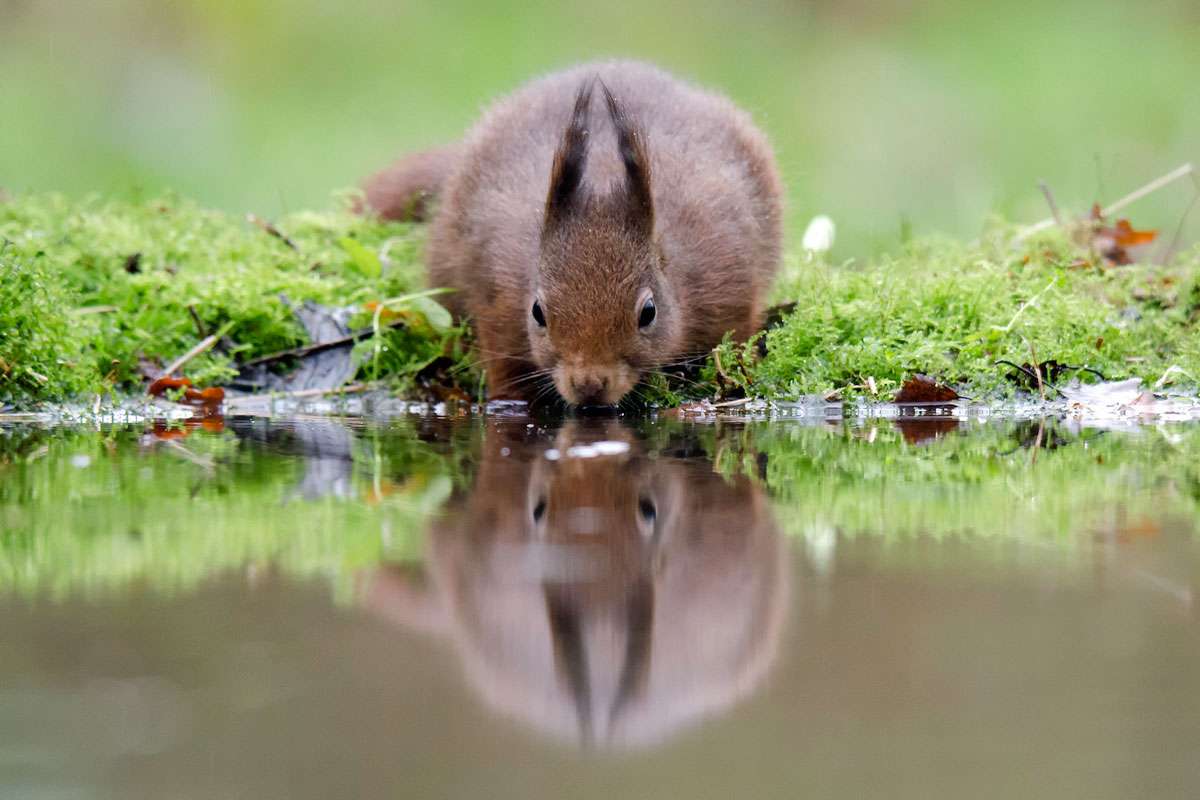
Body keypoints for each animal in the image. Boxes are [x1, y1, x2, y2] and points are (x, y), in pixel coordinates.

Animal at [360, 61, 782, 407]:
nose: (589, 386)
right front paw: (509, 402)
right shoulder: (498, 295)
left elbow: (736, 335)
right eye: (537, 312)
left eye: (648, 312)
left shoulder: (727, 280)